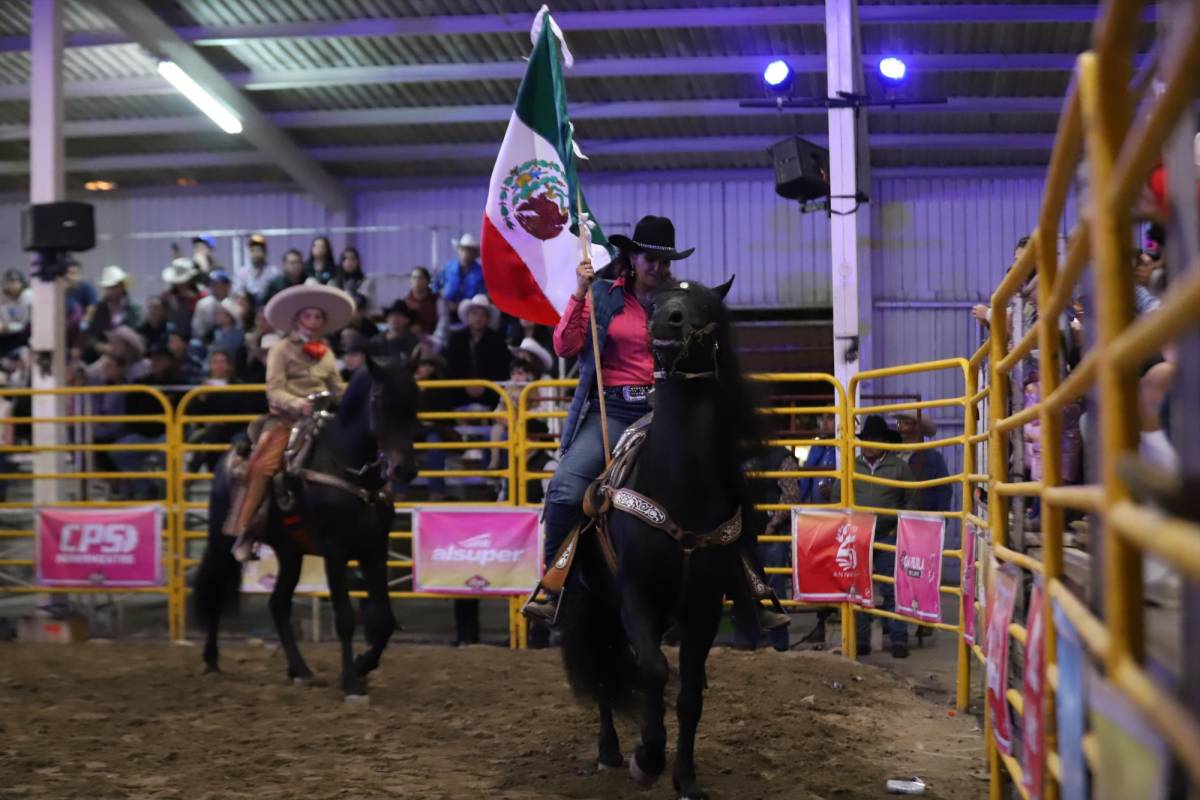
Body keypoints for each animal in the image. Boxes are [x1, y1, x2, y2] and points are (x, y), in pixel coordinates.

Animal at [194, 355, 420, 700]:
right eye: (378, 401)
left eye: (416, 401)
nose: (403, 469)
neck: (350, 471)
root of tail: (227, 458)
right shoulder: (335, 552)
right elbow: (344, 618)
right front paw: (352, 683)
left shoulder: (375, 549)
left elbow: (383, 620)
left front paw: (361, 665)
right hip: (222, 540)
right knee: (216, 589)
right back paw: (210, 660)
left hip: (291, 553)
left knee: (278, 604)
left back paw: (300, 670)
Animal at [559, 277, 763, 800]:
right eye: (653, 302)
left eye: (706, 304)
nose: (666, 323)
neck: (680, 483)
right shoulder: (636, 593)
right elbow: (652, 671)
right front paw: (646, 758)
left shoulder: (704, 606)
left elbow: (689, 694)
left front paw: (685, 778)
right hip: (593, 601)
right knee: (604, 669)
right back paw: (610, 751)